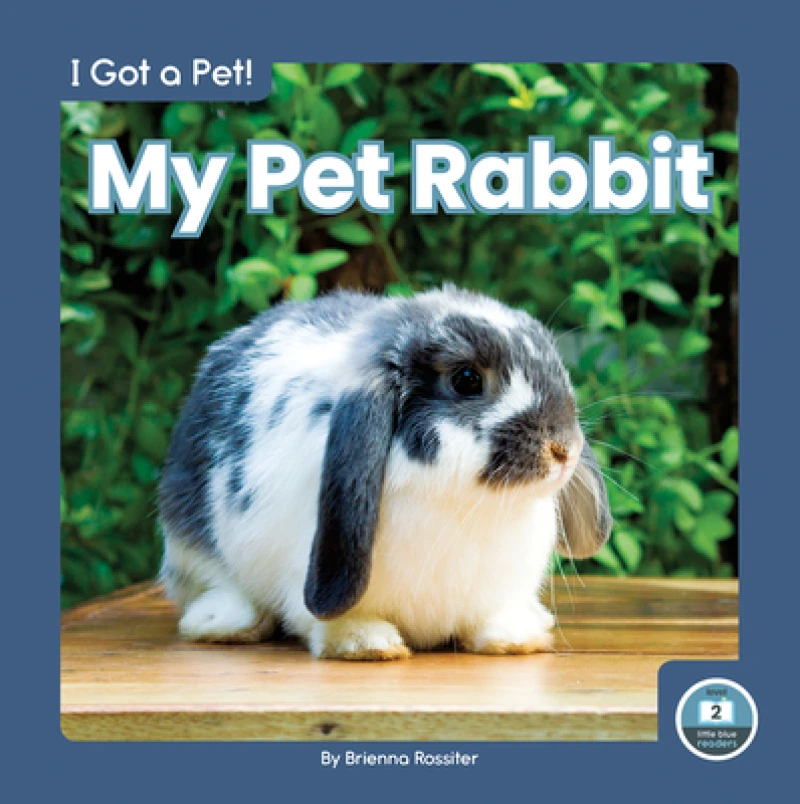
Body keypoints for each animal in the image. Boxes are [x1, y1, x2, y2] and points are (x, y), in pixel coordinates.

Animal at [157, 286, 612, 660]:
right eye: (466, 380)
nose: (565, 449)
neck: (466, 506)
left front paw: (515, 638)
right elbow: (333, 619)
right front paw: (367, 643)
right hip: (192, 542)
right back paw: (224, 624)